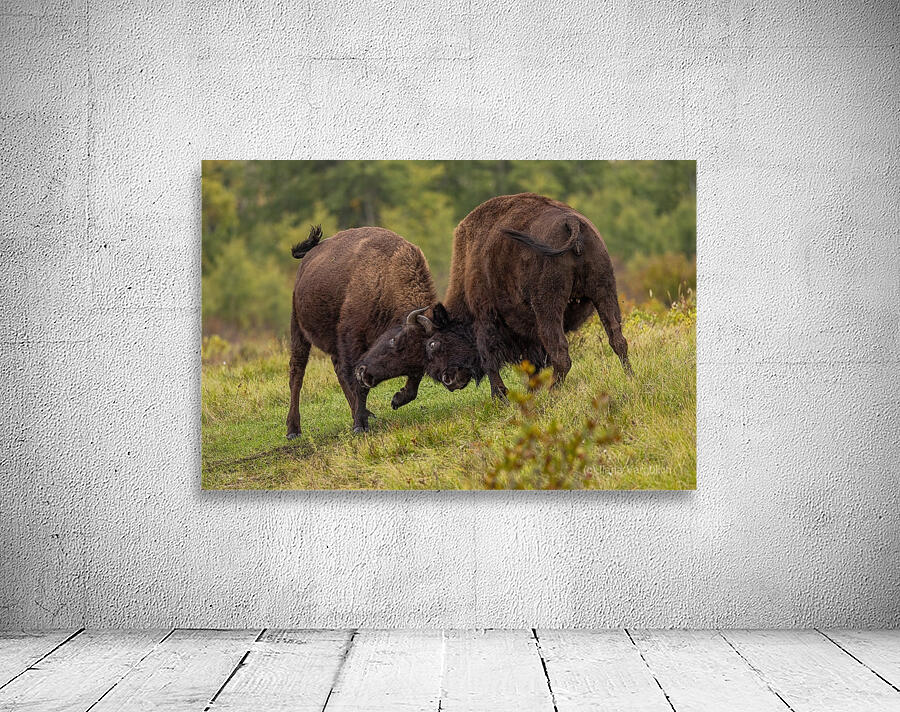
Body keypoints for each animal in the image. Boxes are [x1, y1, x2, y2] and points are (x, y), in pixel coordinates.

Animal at [286, 226, 441, 436]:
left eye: (416, 361)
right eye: (394, 341)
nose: (367, 375)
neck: (386, 278)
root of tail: (308, 257)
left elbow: (413, 385)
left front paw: (396, 400)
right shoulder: (352, 340)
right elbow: (357, 384)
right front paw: (360, 425)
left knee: (338, 371)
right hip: (298, 328)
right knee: (297, 372)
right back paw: (293, 430)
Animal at [421, 193, 631, 399]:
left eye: (433, 343)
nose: (447, 380)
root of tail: (571, 222)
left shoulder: (484, 317)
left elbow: (489, 359)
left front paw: (500, 396)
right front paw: (529, 392)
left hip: (548, 307)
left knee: (561, 354)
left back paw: (551, 395)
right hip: (604, 291)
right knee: (617, 339)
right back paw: (630, 378)